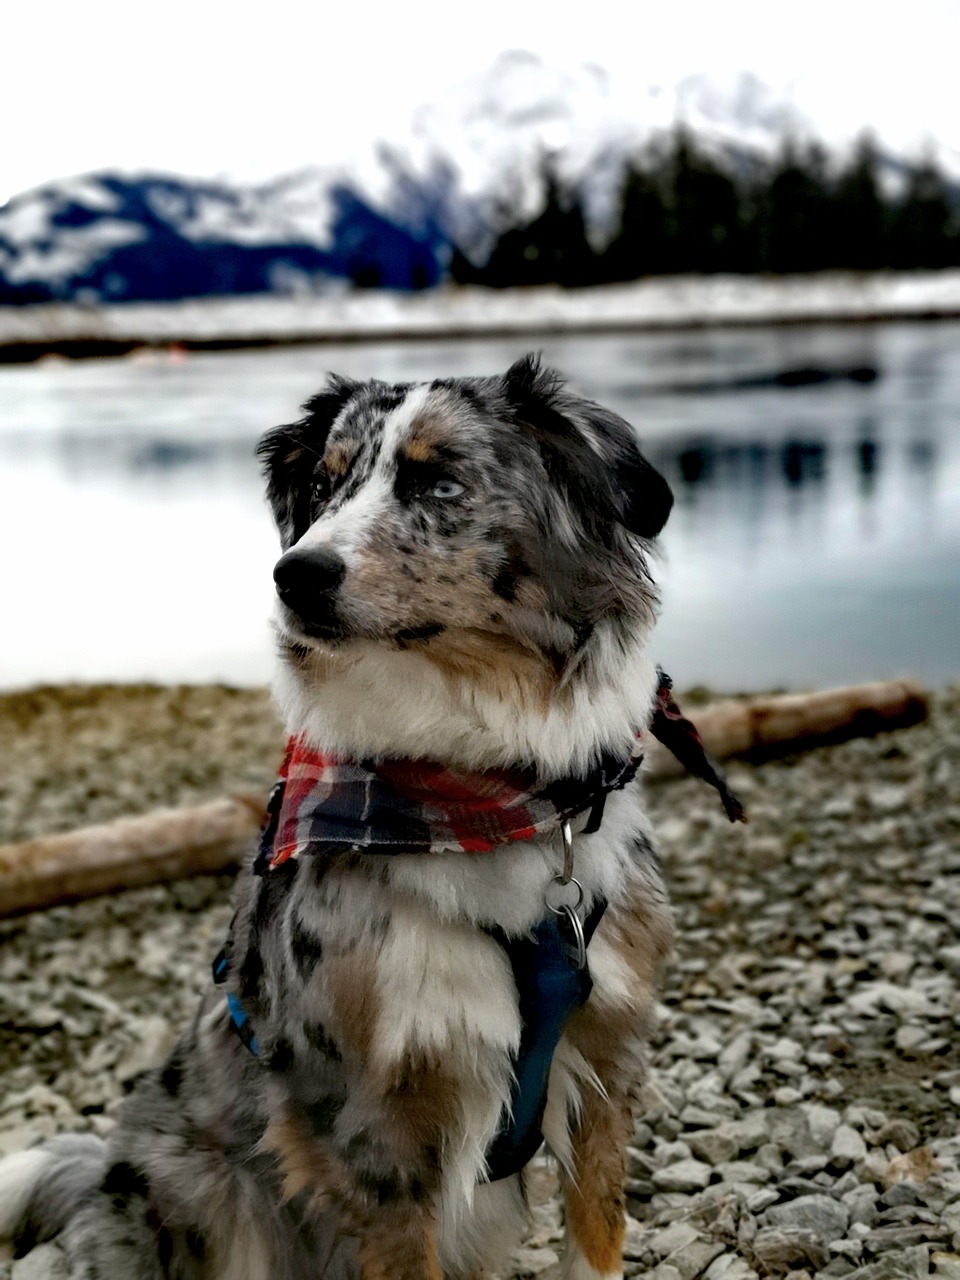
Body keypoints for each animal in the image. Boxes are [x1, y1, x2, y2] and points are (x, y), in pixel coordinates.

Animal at [0, 353, 675, 1280]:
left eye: (437, 481)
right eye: (324, 487)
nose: (296, 575)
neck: (476, 792)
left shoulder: (607, 1059)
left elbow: (597, 1239)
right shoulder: (371, 1123)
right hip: (202, 1195)